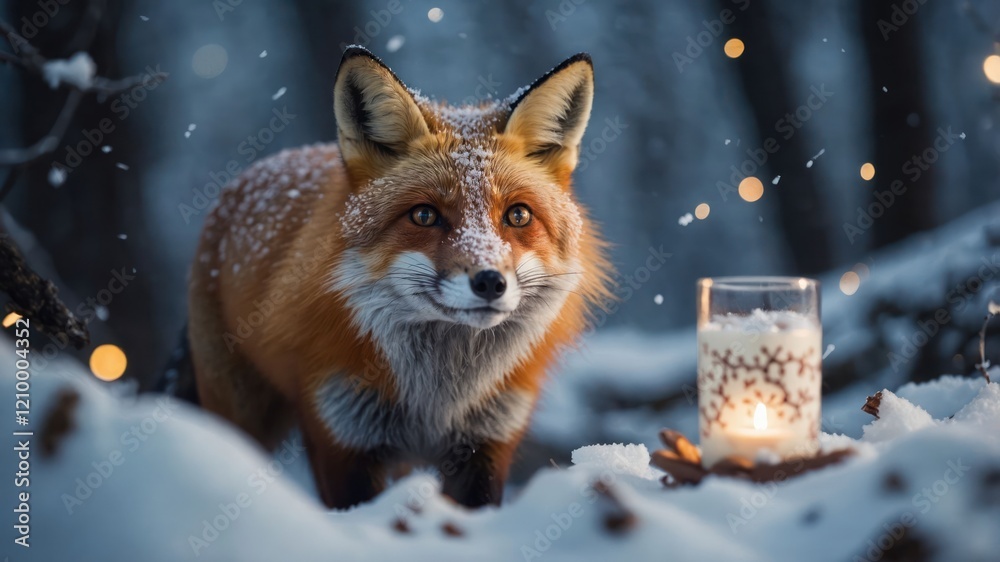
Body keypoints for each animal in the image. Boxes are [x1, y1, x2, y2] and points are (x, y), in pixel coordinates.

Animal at [187, 45, 612, 509]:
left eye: (518, 215)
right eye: (424, 215)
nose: (489, 283)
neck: (437, 399)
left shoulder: (486, 442)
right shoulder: (341, 435)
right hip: (240, 414)